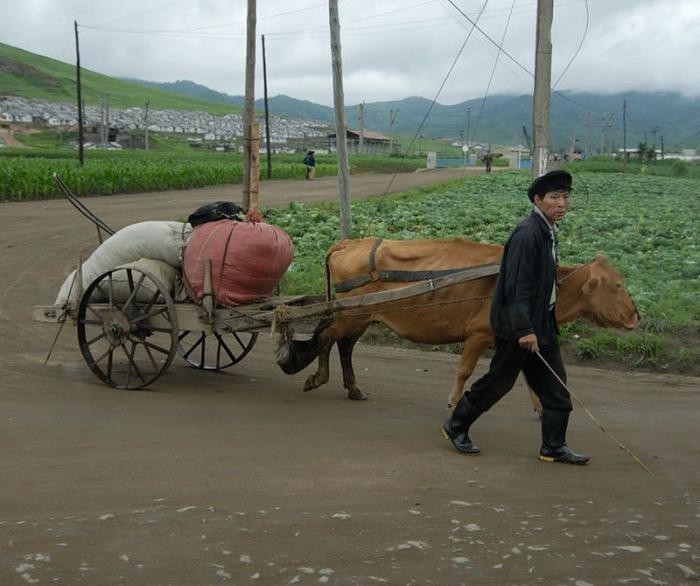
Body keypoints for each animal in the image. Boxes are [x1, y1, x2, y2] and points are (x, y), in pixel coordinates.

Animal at [278, 235, 640, 404]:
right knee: (327, 337)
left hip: (362, 314)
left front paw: (540, 408)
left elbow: (532, 377)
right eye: (617, 285)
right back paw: (317, 377)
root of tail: (349, 242)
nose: (636, 317)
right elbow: (465, 371)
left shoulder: (518, 339)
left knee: (343, 344)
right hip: (352, 311)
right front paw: (453, 401)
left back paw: (353, 388)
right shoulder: (479, 334)